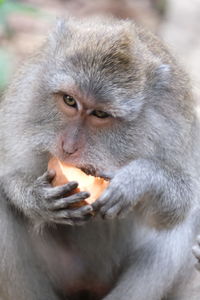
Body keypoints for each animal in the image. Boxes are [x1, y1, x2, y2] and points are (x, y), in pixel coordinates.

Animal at [0, 15, 200, 300]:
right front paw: (35, 198)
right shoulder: (23, 101)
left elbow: (182, 201)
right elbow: (7, 170)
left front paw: (137, 180)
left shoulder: (173, 124)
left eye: (100, 114)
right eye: (69, 100)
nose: (68, 147)